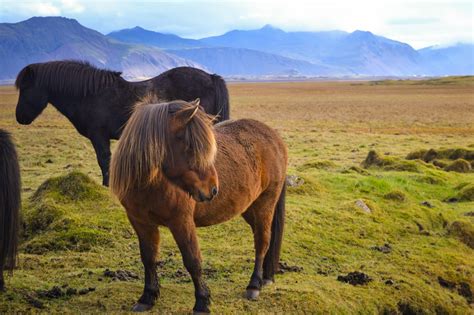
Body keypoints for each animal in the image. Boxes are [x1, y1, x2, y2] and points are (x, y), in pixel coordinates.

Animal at [14, 60, 230, 186]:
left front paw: (107, 185)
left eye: (25, 88)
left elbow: (104, 160)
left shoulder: (99, 136)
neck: (90, 95)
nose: (19, 117)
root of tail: (211, 77)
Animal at [109, 99, 286, 314]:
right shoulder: (140, 222)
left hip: (264, 204)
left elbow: (192, 260)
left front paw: (202, 301)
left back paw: (254, 285)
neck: (151, 184)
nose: (213, 189)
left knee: (262, 241)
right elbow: (148, 258)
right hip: (249, 208)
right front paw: (147, 297)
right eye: (191, 147)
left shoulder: (181, 222)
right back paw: (266, 278)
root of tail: (274, 137)